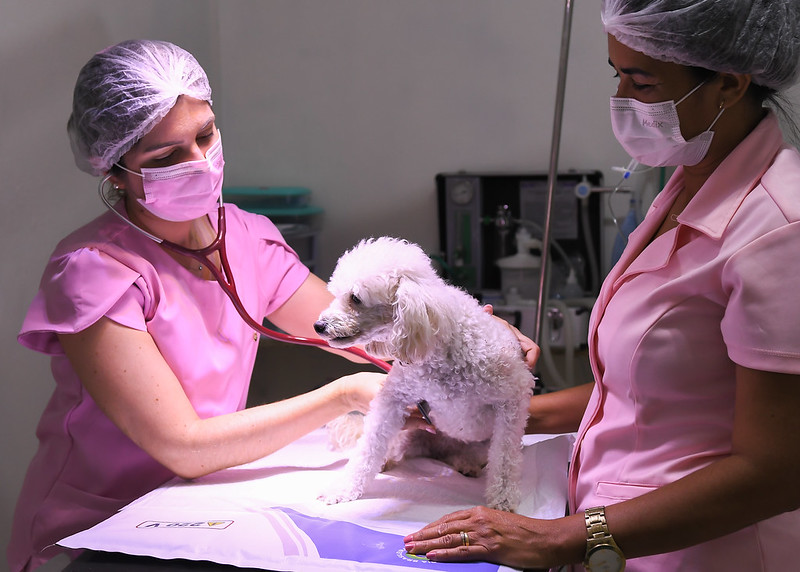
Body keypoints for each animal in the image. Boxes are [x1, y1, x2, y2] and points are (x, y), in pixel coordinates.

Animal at [316, 235, 536, 512]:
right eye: (336, 295)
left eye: (355, 298)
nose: (318, 326)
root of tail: (435, 450)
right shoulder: (393, 399)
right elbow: (368, 446)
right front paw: (343, 489)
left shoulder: (512, 400)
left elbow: (505, 458)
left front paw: (503, 501)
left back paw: (466, 463)